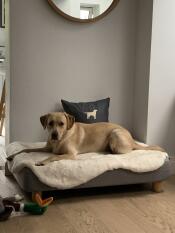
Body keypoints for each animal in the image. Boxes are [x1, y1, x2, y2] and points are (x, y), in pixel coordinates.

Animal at [6, 111, 165, 166]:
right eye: (50, 123)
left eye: (62, 124)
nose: (54, 135)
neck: (61, 138)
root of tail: (132, 139)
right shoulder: (47, 148)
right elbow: (26, 149)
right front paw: (12, 155)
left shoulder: (70, 154)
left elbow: (54, 157)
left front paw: (42, 161)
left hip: (115, 133)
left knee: (125, 151)